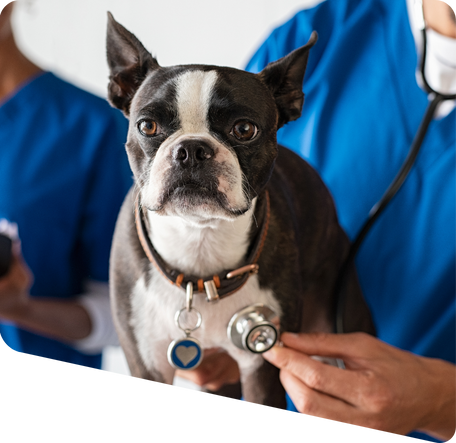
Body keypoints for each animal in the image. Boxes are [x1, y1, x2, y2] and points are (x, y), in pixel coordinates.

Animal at [106, 13, 374, 420]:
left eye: (244, 129)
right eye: (147, 126)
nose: (191, 150)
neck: (199, 244)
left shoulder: (262, 363)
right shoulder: (146, 368)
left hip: (342, 314)